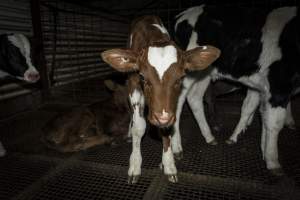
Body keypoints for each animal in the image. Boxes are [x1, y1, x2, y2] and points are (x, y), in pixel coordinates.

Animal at [101, 15, 220, 184]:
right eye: (143, 77)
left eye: (181, 77)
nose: (161, 117)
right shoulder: (134, 84)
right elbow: (139, 127)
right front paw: (135, 165)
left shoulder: (169, 109)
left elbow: (168, 129)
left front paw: (168, 163)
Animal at [173, 5, 300, 174]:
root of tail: (184, 14)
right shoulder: (278, 86)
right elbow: (275, 123)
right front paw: (273, 161)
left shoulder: (262, 88)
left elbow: (258, 112)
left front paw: (262, 149)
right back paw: (177, 148)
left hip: (204, 72)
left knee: (194, 97)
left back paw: (209, 137)